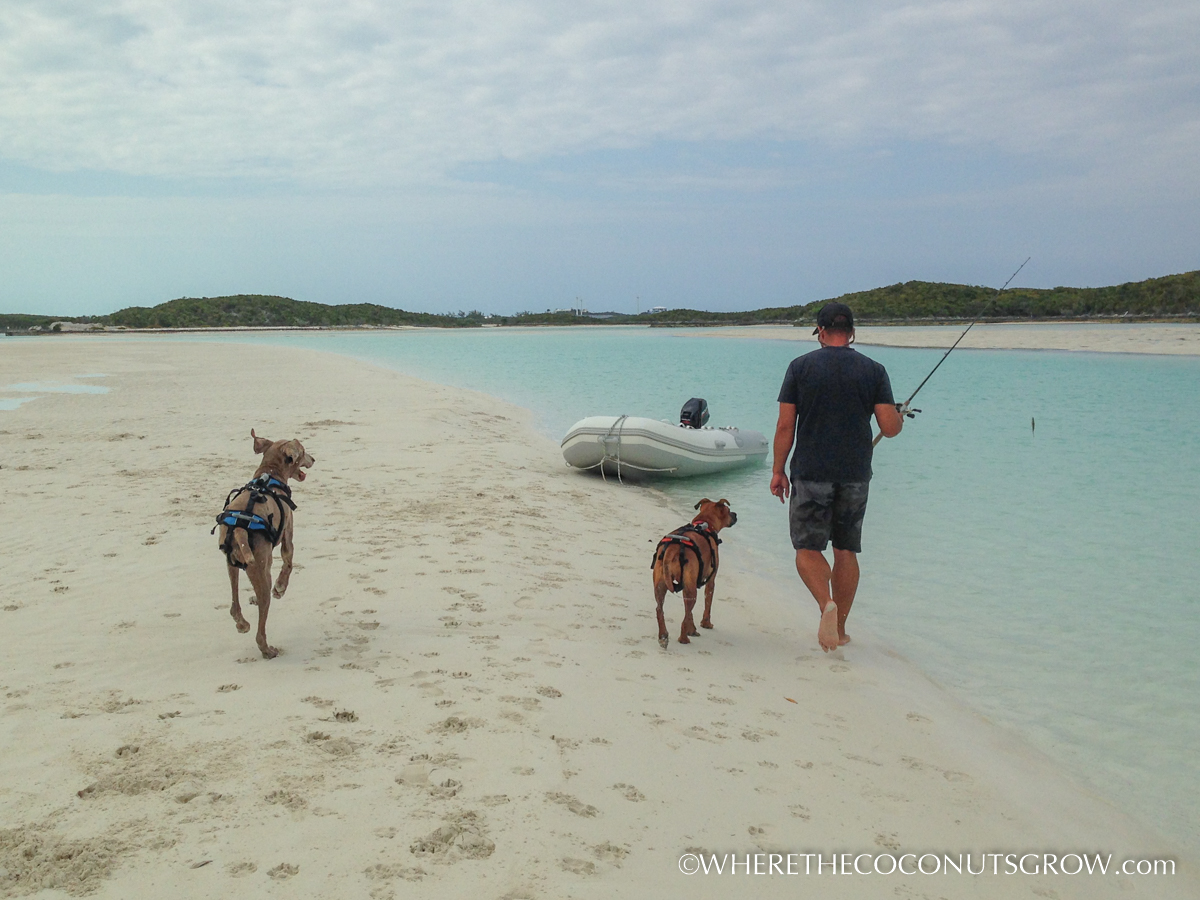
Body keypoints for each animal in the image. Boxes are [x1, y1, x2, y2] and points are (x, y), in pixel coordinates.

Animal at [214, 429, 314, 658]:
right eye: (303, 450)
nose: (313, 459)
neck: (269, 476)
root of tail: (240, 528)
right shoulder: (287, 536)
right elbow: (288, 564)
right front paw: (280, 588)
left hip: (232, 564)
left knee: (235, 606)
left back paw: (242, 623)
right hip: (260, 568)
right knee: (261, 625)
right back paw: (267, 649)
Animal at [651, 498, 737, 649]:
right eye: (728, 511)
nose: (736, 514)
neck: (704, 524)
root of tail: (673, 549)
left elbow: (690, 614)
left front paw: (692, 629)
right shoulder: (710, 581)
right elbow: (707, 605)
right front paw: (705, 624)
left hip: (661, 583)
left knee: (660, 609)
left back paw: (663, 636)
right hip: (691, 590)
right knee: (685, 615)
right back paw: (683, 638)